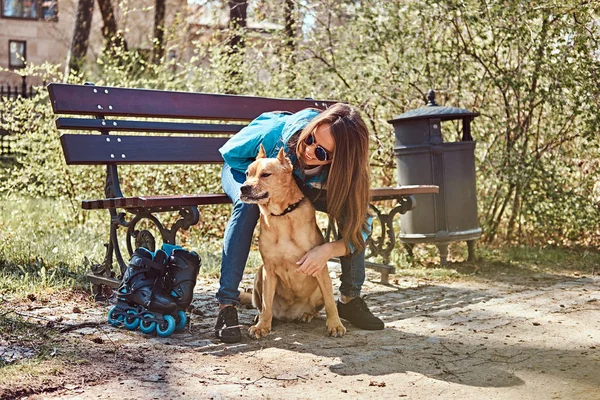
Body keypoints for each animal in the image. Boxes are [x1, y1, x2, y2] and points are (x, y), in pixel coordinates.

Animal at [237, 144, 344, 338]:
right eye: (247, 173)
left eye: (265, 174)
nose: (243, 188)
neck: (282, 216)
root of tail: (289, 315)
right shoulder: (269, 270)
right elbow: (266, 304)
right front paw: (262, 326)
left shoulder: (319, 266)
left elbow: (331, 302)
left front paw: (335, 325)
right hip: (259, 275)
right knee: (263, 307)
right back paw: (261, 318)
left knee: (319, 305)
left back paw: (307, 315)